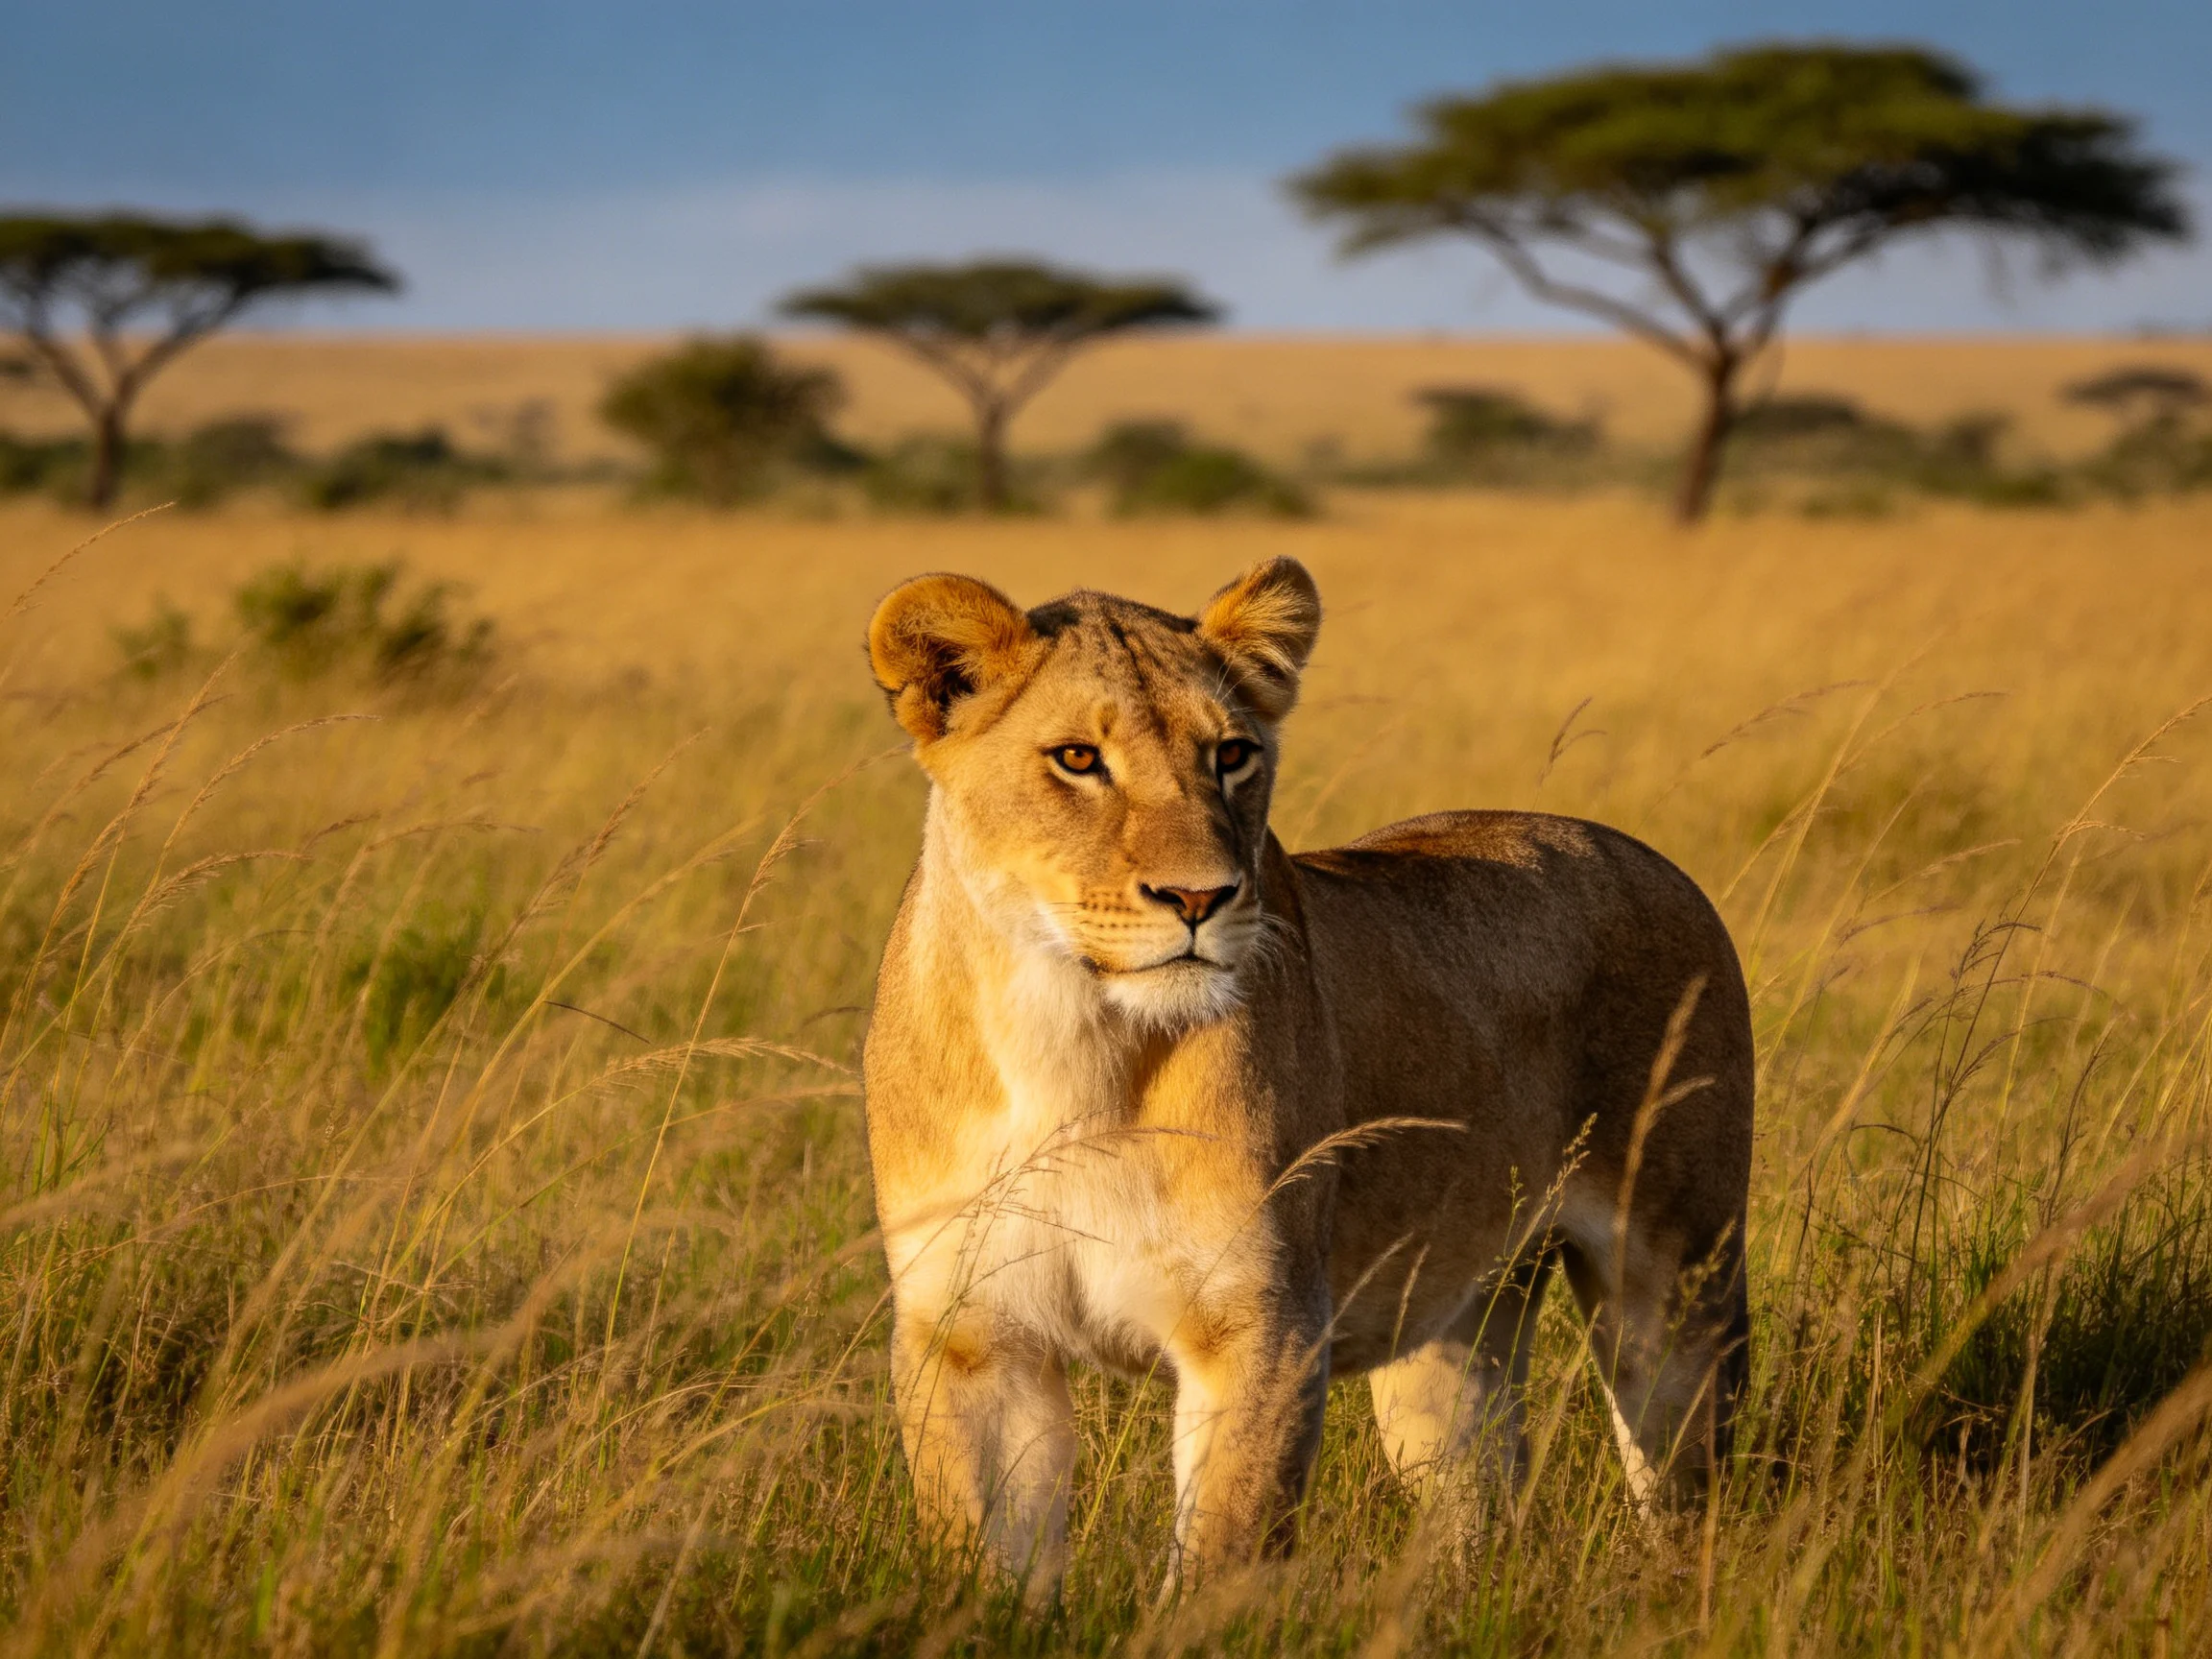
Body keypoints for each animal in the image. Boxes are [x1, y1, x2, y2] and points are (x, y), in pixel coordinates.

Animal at [860, 556, 1753, 1592]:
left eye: (1232, 755)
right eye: (1078, 759)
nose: (1201, 897)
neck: (1069, 1031)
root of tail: (1647, 856)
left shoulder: (1264, 1327)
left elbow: (1219, 1559)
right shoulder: (971, 1337)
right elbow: (986, 1565)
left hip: (1675, 1289)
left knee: (1688, 1491)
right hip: (1453, 1333)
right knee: (1478, 1502)